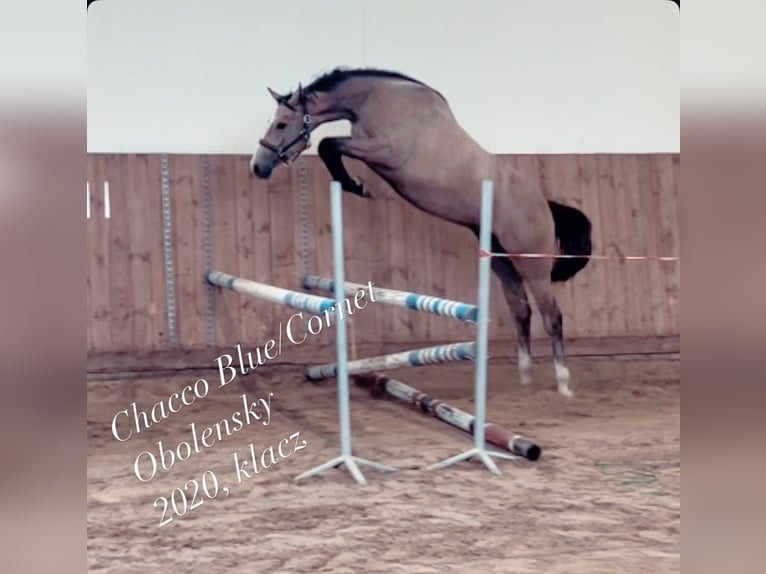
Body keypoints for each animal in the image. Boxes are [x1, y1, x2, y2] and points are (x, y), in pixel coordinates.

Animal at [250, 67, 592, 397]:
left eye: (281, 124)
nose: (258, 167)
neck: (375, 99)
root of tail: (545, 206)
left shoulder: (384, 151)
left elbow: (327, 145)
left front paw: (356, 186)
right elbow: (329, 147)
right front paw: (354, 185)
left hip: (532, 264)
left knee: (552, 316)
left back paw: (563, 383)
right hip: (502, 261)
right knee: (521, 311)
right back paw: (525, 379)